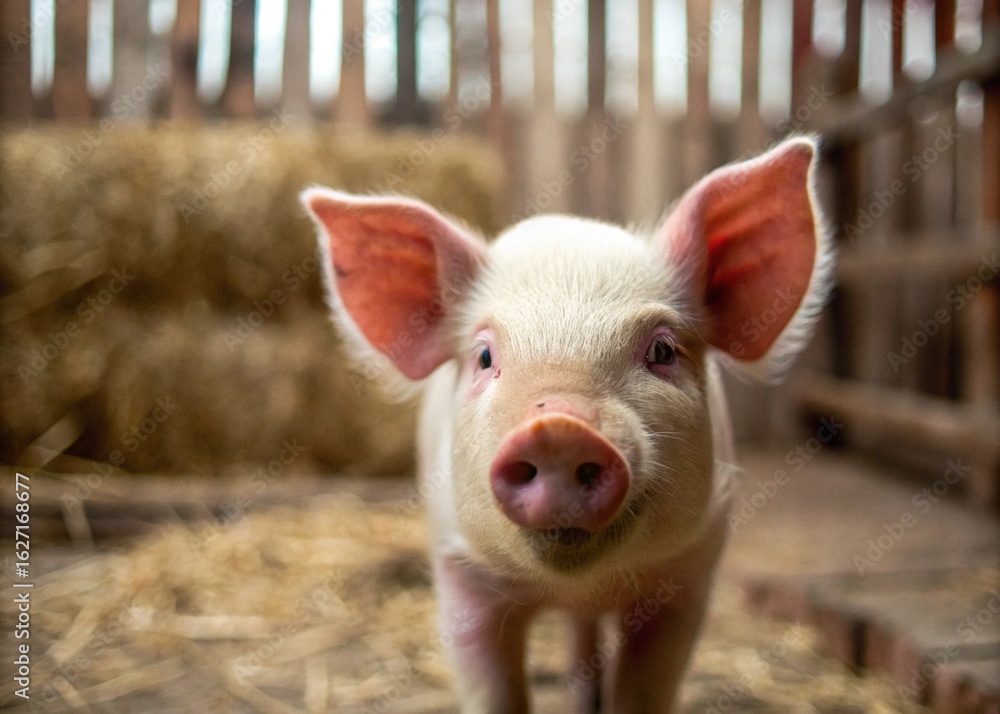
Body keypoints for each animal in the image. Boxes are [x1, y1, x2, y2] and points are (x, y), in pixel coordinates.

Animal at [302, 136, 832, 713]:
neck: (579, 584)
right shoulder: (461, 576)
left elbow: (645, 690)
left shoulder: (688, 577)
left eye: (662, 350)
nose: (557, 430)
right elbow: (494, 688)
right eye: (484, 356)